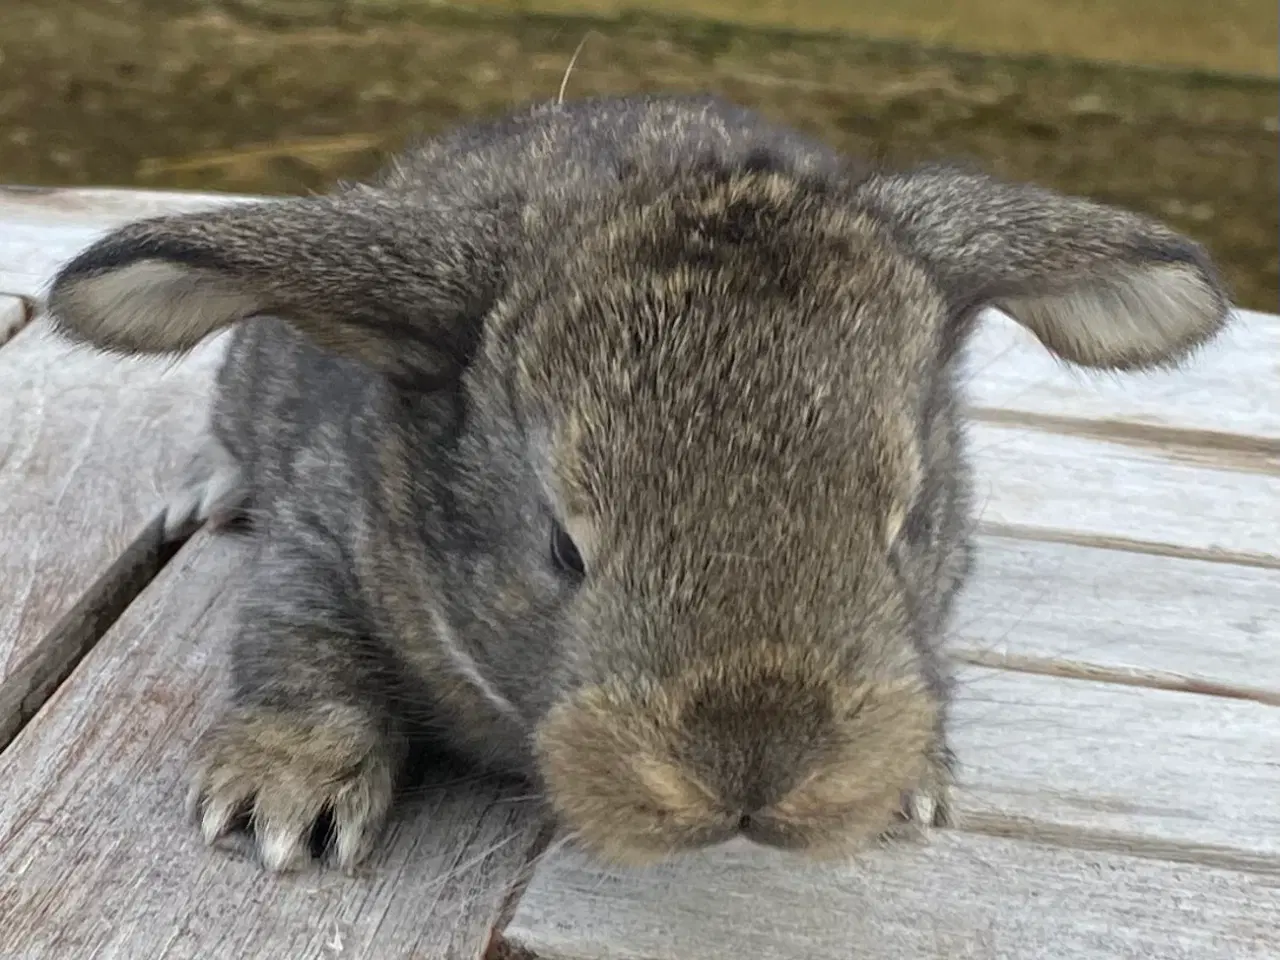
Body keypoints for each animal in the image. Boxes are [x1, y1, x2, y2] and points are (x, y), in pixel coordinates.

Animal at [47, 96, 1228, 870]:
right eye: (560, 546)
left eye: (907, 523)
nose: (751, 773)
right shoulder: (323, 534)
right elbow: (295, 639)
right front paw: (279, 796)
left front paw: (919, 778)